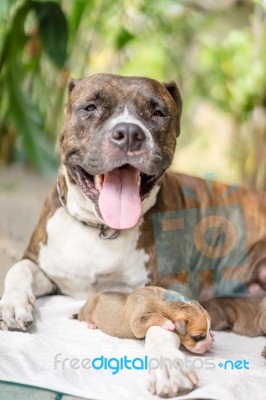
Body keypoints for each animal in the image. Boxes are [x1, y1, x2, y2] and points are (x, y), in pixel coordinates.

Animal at [78, 286, 213, 354]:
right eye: (197, 337)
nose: (208, 346)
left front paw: (212, 335)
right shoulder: (137, 321)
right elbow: (153, 315)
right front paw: (167, 323)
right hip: (89, 306)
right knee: (82, 317)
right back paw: (91, 324)